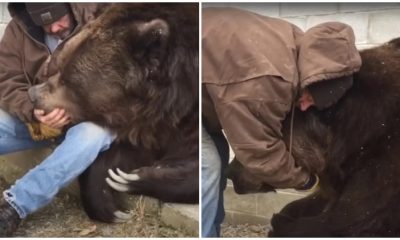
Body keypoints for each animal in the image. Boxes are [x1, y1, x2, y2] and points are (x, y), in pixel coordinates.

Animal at [27, 3, 199, 223]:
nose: (33, 94)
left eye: (68, 80)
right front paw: (110, 204)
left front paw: (134, 177)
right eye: (60, 64)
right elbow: (119, 154)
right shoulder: (146, 122)